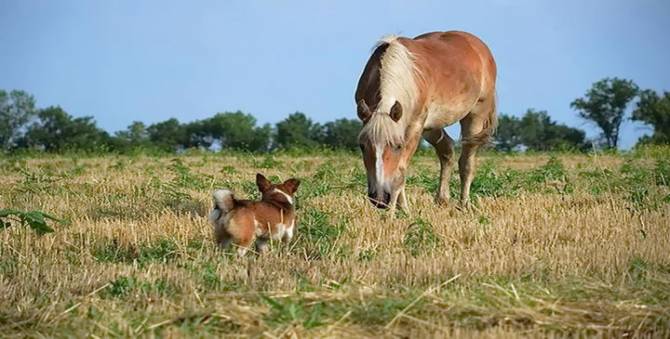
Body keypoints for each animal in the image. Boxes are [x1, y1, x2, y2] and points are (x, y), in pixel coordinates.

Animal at [356, 31, 498, 212]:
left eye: (397, 146)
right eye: (362, 146)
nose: (380, 199)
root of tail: (479, 46)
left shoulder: (414, 127)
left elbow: (399, 172)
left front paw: (394, 213)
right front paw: (404, 210)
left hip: (475, 117)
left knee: (466, 163)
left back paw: (464, 205)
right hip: (431, 127)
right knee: (447, 150)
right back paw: (442, 200)